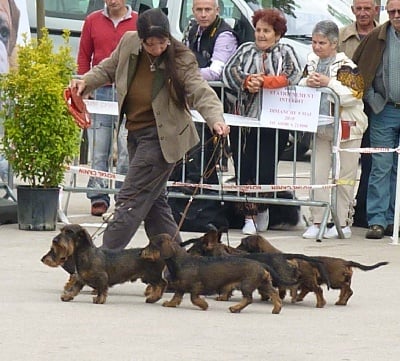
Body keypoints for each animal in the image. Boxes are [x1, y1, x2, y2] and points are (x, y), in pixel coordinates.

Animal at [141, 233, 282, 312]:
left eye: (152, 244)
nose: (140, 253)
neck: (181, 261)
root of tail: (261, 264)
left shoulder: (195, 286)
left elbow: (193, 298)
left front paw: (203, 305)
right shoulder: (180, 287)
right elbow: (176, 297)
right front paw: (170, 304)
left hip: (247, 285)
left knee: (248, 299)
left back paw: (235, 308)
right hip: (263, 284)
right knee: (274, 294)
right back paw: (276, 309)